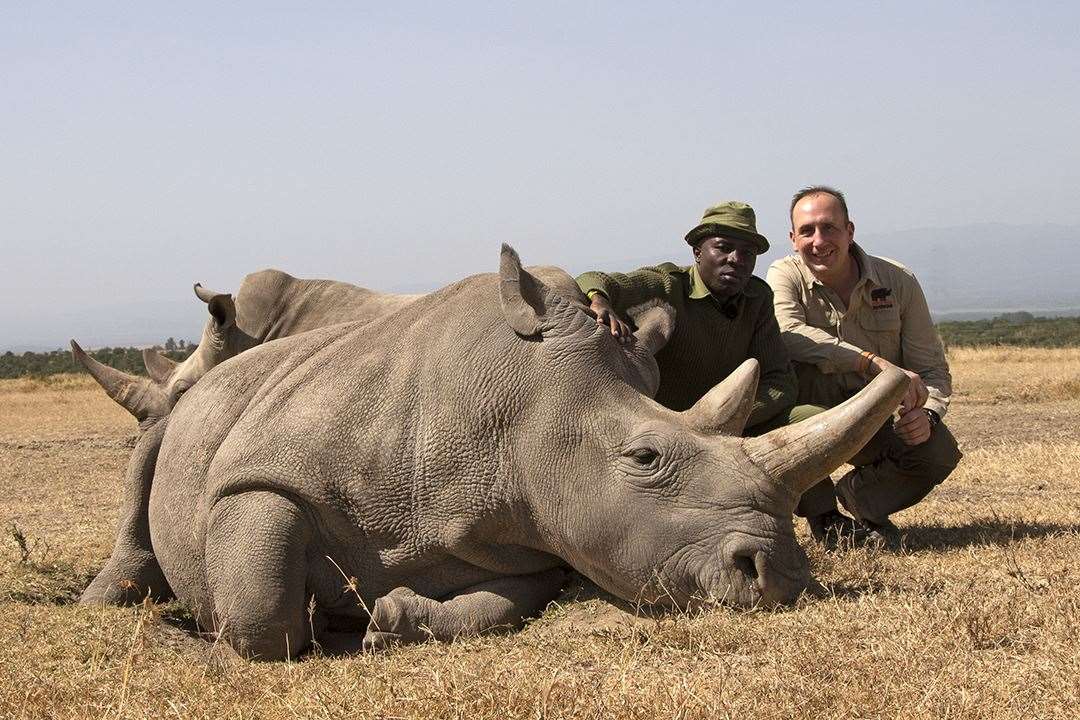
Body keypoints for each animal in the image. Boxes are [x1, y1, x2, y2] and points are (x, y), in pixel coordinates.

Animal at [73, 248, 902, 660]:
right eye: (644, 459)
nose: (781, 578)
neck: (510, 414)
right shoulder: (267, 471)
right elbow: (259, 611)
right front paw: (231, 627)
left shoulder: (527, 537)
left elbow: (496, 610)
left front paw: (385, 621)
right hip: (190, 406)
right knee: (150, 455)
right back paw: (105, 601)